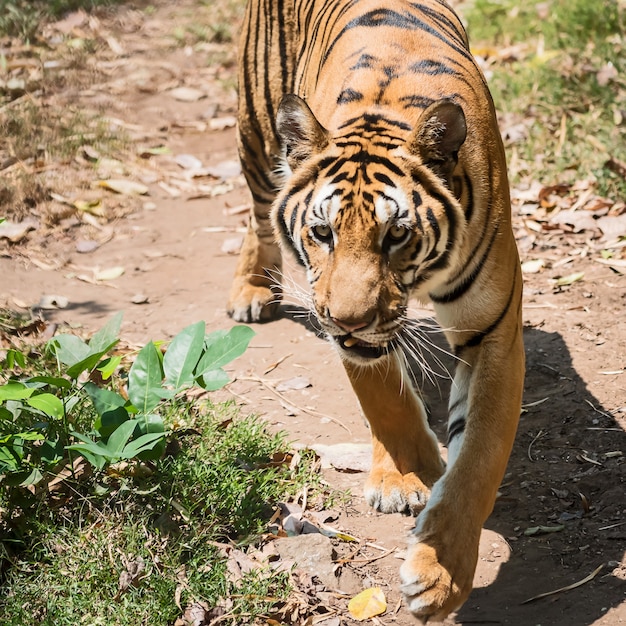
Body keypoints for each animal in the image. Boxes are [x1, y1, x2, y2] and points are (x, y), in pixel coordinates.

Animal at [227, 0, 524, 616]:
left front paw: (441, 575)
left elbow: (480, 456)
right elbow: (384, 397)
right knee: (259, 211)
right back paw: (251, 290)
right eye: (322, 233)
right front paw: (408, 478)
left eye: (397, 235)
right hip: (258, 134)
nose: (347, 320)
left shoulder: (493, 327)